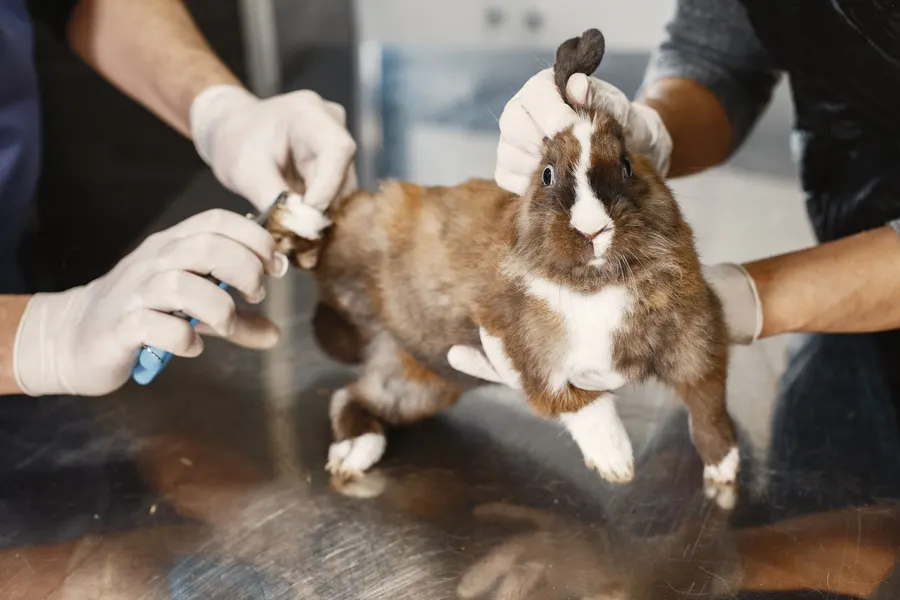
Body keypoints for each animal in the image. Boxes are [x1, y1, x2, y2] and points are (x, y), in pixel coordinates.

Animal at [267, 28, 740, 505]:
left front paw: (725, 466)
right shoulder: (526, 352)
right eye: (547, 174)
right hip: (361, 236)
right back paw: (298, 219)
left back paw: (354, 452)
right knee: (324, 238)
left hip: (421, 383)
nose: (593, 229)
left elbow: (707, 404)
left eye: (627, 166)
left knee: (351, 397)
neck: (597, 284)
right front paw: (616, 460)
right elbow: (579, 403)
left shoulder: (698, 340)